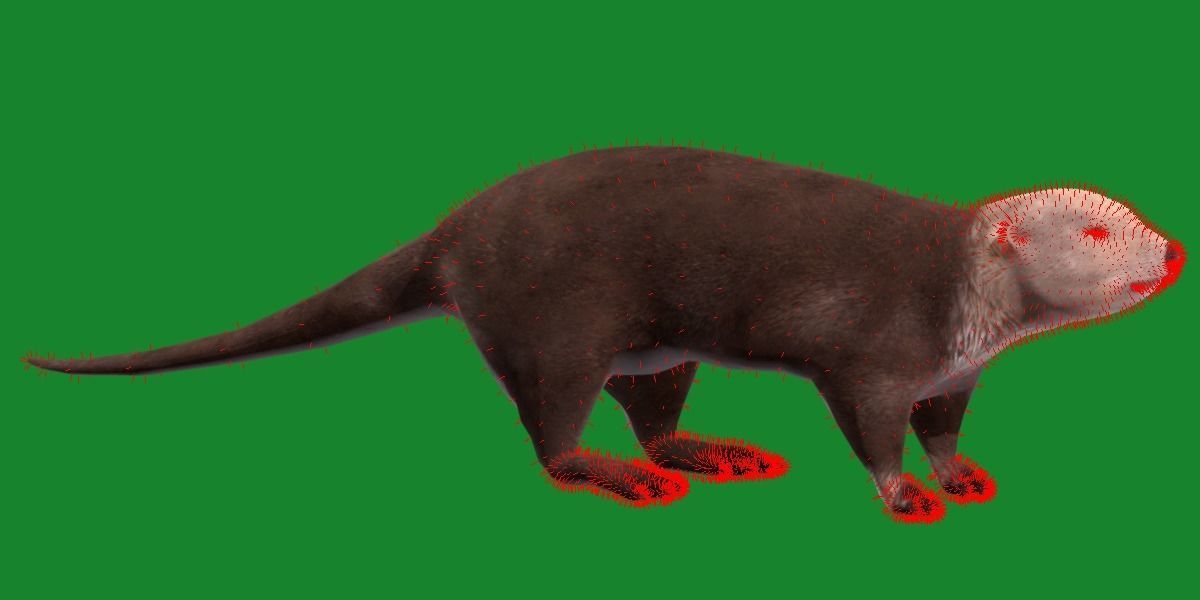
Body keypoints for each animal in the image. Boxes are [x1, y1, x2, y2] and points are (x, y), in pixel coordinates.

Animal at [24, 146, 1185, 523]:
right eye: (1095, 229)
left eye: (1132, 211)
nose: (1173, 250)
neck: (961, 302)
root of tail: (456, 229)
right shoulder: (872, 352)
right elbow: (870, 426)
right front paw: (905, 494)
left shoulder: (954, 371)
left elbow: (945, 426)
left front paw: (962, 472)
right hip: (555, 324)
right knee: (550, 428)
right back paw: (621, 474)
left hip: (654, 348)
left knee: (652, 406)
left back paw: (707, 451)